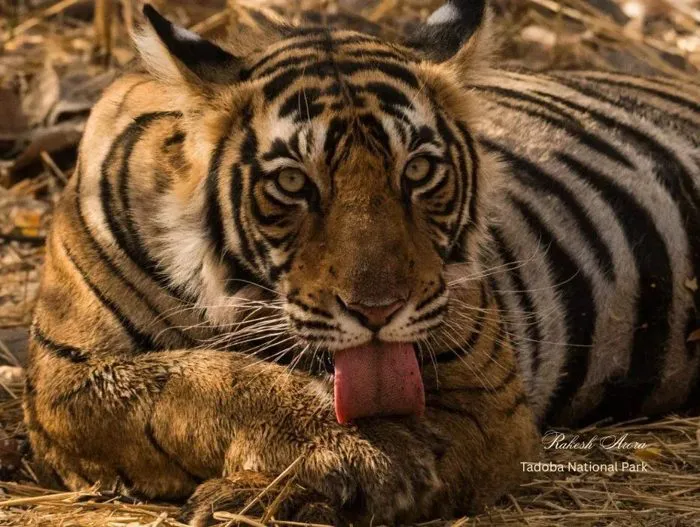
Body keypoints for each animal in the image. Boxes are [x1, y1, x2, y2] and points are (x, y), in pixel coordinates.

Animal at [23, 0, 700, 524]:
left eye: (418, 171)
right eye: (292, 183)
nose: (378, 310)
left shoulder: (489, 398)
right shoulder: (67, 376)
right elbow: (201, 382)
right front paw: (361, 453)